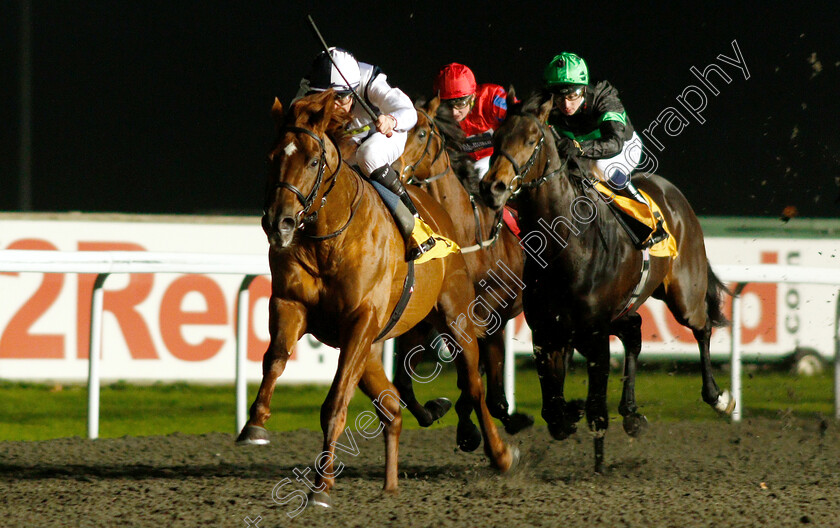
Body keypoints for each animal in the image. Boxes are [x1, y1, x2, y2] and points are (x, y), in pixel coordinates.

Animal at [238, 92, 520, 508]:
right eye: (272, 157)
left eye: (313, 160)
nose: (279, 222)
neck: (329, 237)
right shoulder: (290, 304)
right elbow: (274, 359)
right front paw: (254, 425)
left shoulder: (361, 320)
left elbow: (336, 402)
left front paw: (320, 487)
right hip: (373, 348)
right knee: (392, 407)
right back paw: (391, 482)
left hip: (456, 317)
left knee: (472, 384)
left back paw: (500, 454)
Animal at [392, 97, 536, 448]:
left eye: (421, 132)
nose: (395, 168)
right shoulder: (427, 317)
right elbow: (403, 380)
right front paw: (437, 410)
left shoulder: (487, 313)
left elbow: (477, 378)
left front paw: (475, 426)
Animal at [480, 88, 736, 472]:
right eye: (495, 138)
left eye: (531, 139)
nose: (491, 188)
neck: (568, 246)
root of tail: (673, 194)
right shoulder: (548, 333)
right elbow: (553, 411)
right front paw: (571, 412)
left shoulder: (595, 334)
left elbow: (595, 409)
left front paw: (597, 456)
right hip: (622, 309)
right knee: (634, 332)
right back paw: (630, 413)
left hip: (684, 294)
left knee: (702, 328)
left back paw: (718, 397)